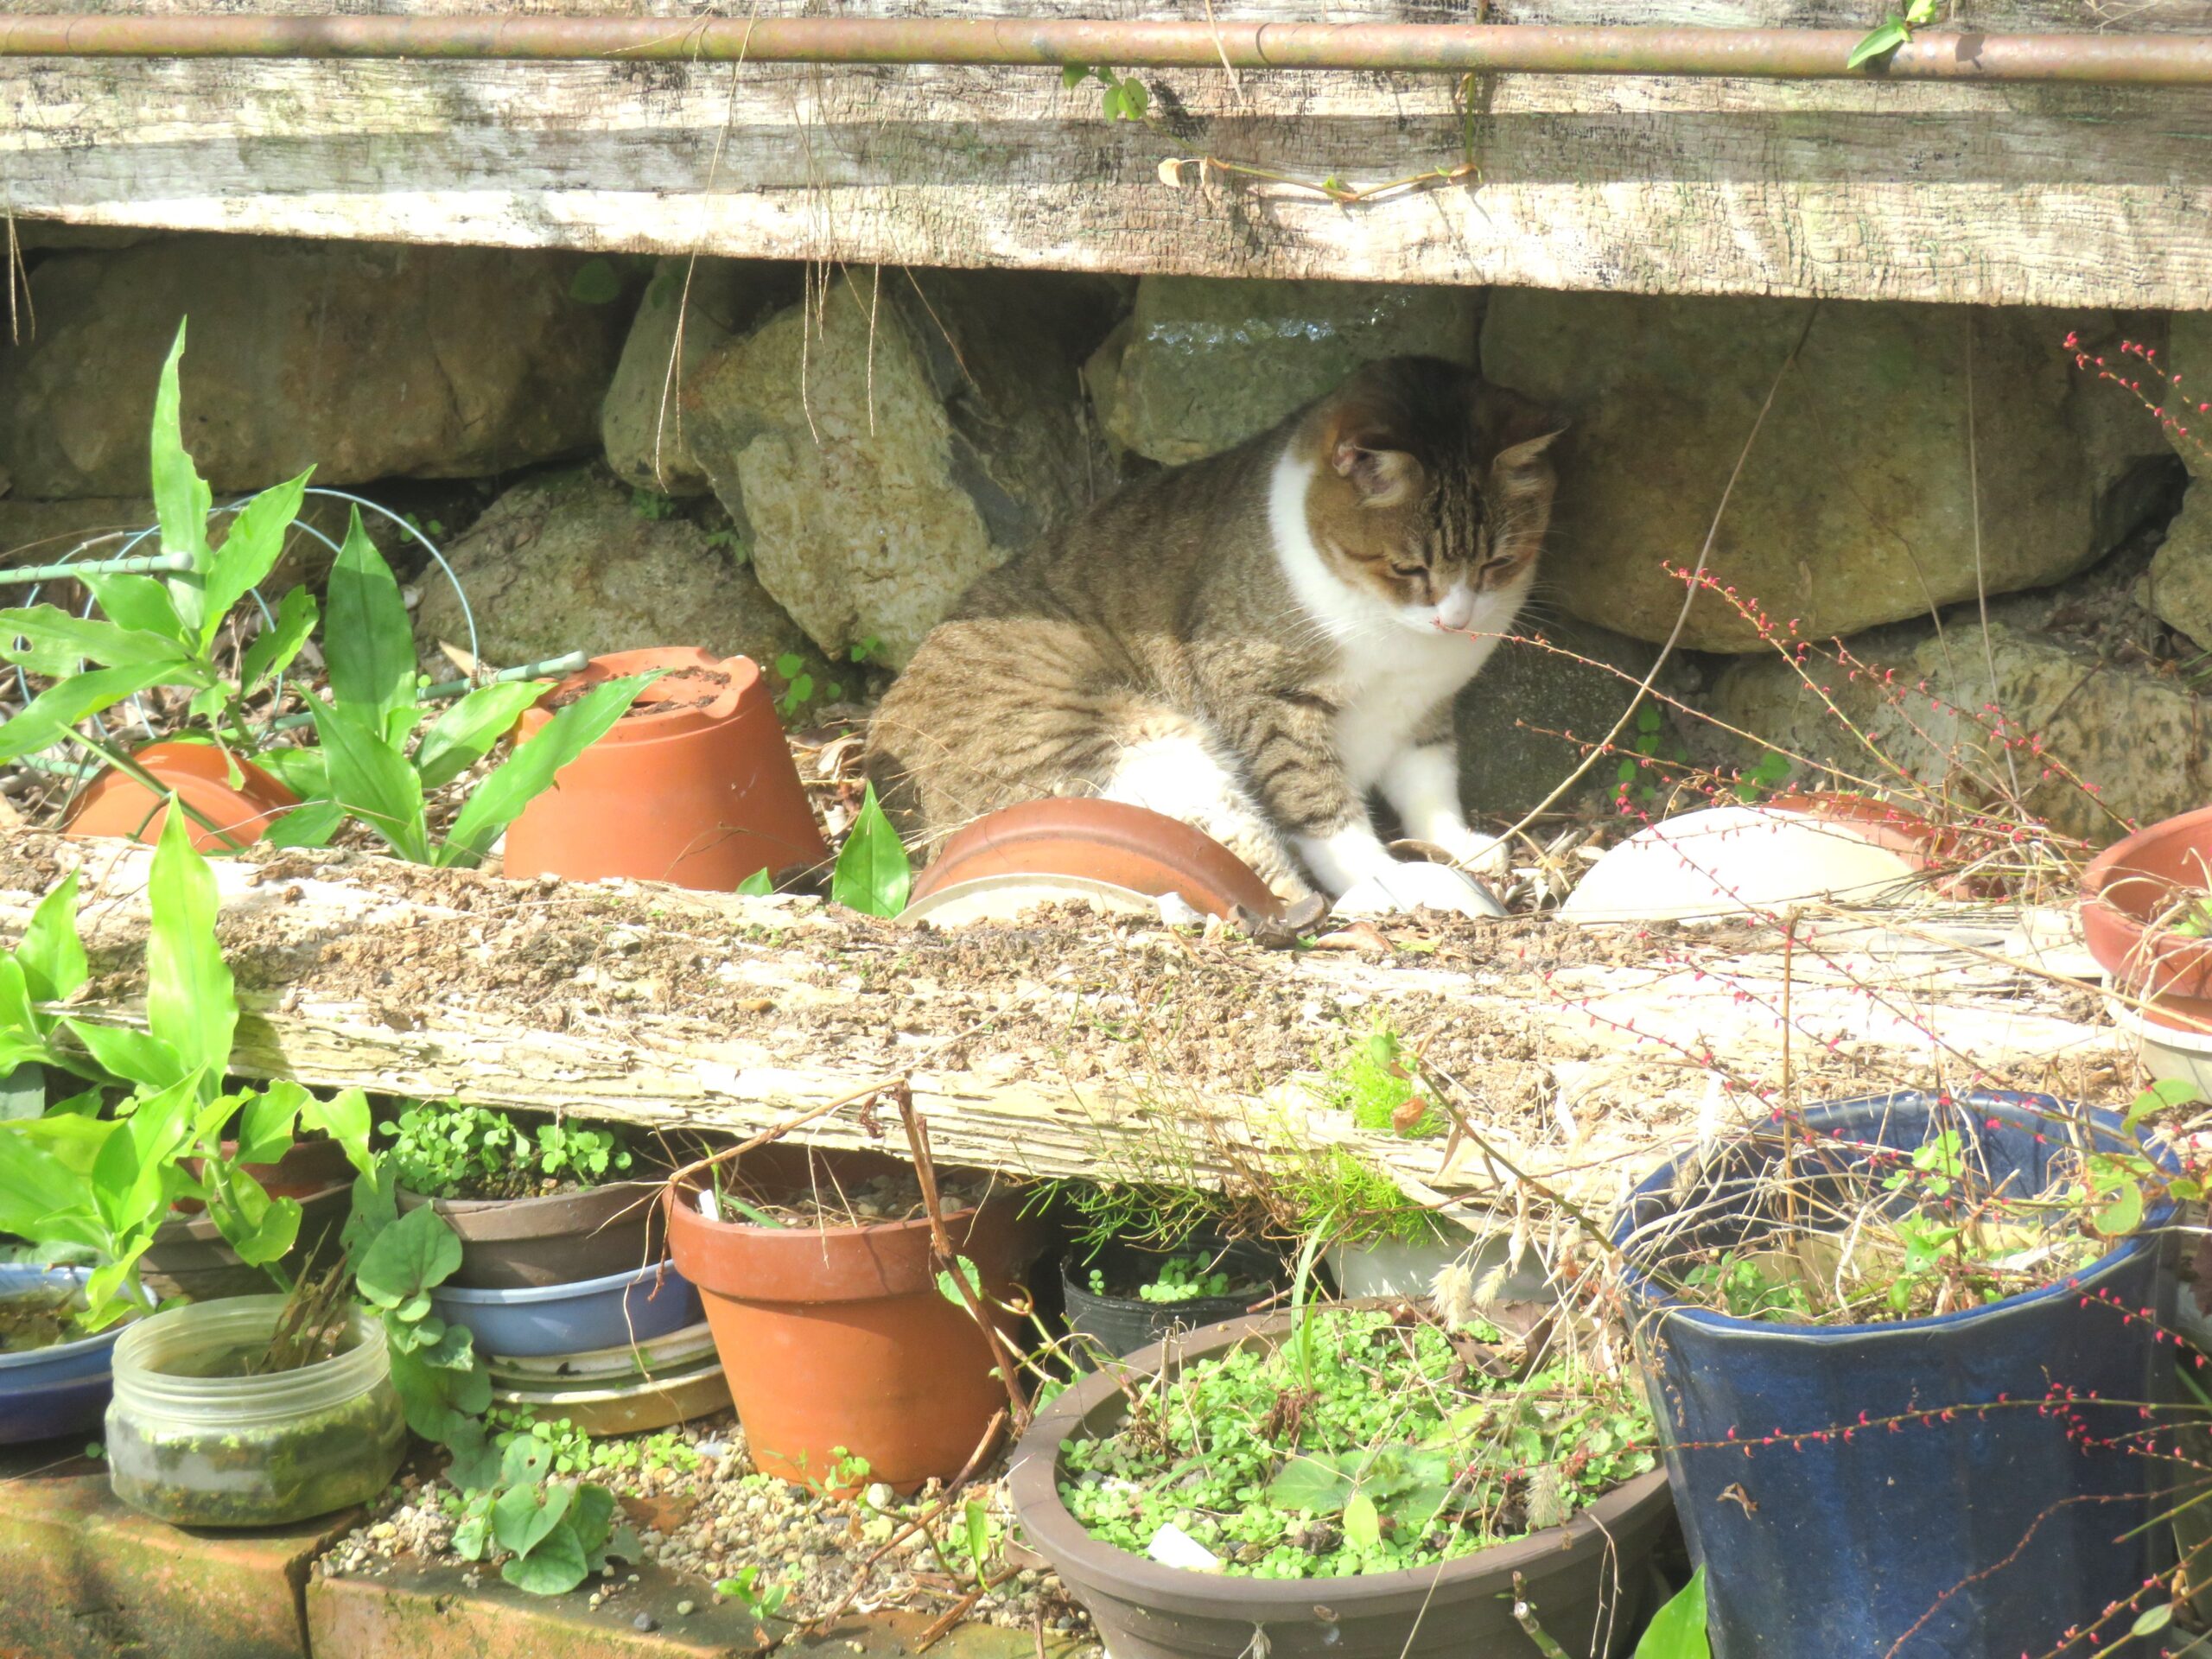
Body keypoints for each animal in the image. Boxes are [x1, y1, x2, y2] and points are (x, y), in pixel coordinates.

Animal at [858, 352, 1557, 915]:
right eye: (1408, 569)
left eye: (1497, 563)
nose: (1455, 618)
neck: (1393, 632)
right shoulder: (1263, 697)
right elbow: (1320, 807)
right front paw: (1384, 875)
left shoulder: (1424, 704)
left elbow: (1429, 779)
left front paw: (1457, 842)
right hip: (1136, 749)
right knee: (1272, 882)